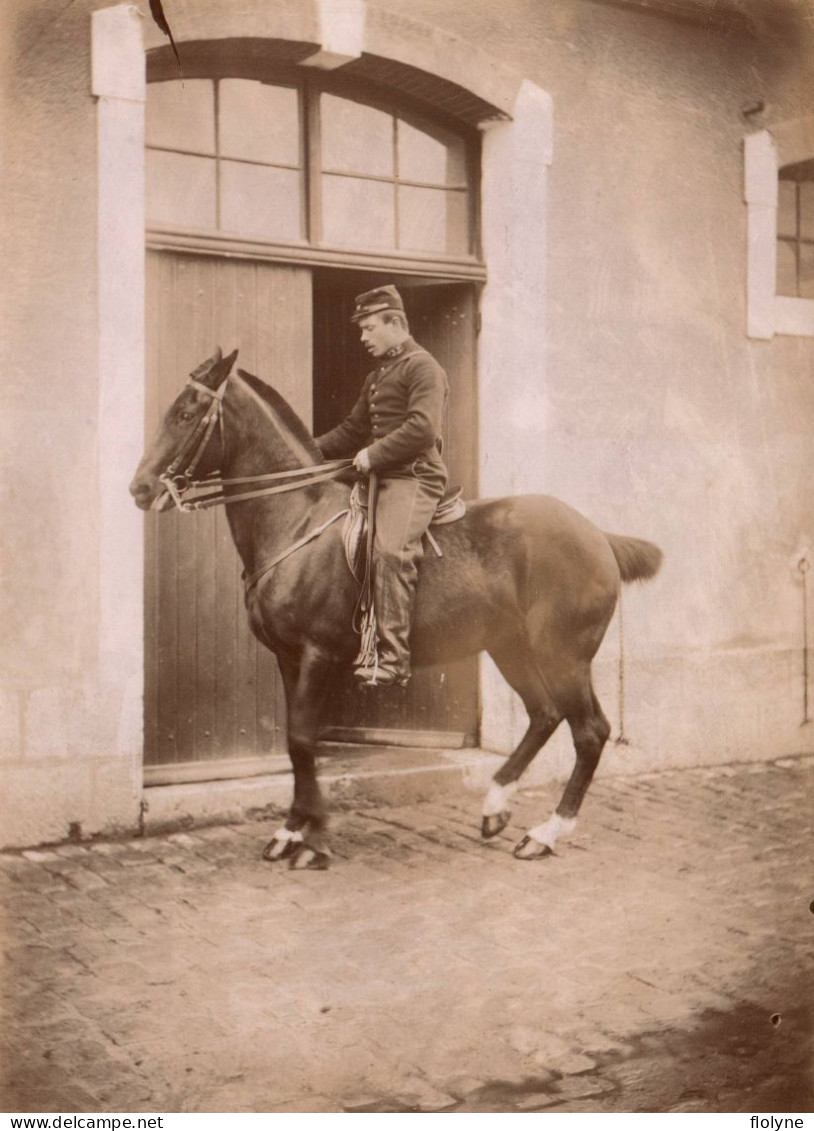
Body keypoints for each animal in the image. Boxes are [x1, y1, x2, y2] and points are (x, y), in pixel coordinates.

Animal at [127, 348, 660, 868]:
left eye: (186, 412)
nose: (140, 488)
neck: (297, 519)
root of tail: (598, 535)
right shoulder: (288, 658)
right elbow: (296, 743)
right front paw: (290, 831)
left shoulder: (319, 654)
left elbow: (303, 740)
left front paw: (315, 839)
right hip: (510, 648)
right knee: (544, 715)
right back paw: (495, 806)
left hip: (564, 656)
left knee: (589, 731)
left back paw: (545, 834)